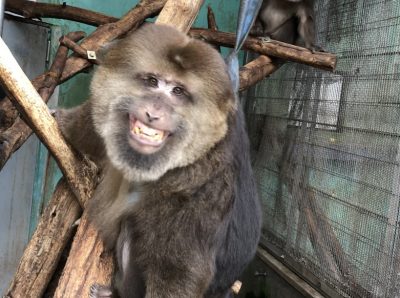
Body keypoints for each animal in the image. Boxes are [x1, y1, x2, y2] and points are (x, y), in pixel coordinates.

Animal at [56, 23, 262, 298]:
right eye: (152, 82)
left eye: (178, 91)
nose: (153, 112)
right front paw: (61, 120)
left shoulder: (199, 184)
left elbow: (178, 271)